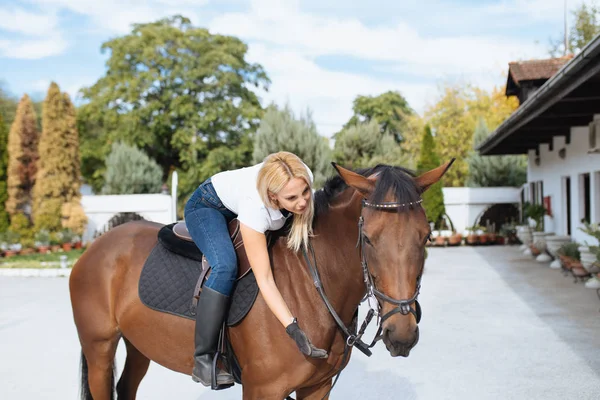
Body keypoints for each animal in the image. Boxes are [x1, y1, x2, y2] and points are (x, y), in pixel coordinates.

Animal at [69, 160, 450, 400]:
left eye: (426, 236)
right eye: (368, 239)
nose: (401, 333)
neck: (307, 288)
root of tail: (98, 245)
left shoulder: (317, 388)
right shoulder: (262, 390)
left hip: (138, 345)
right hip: (99, 348)